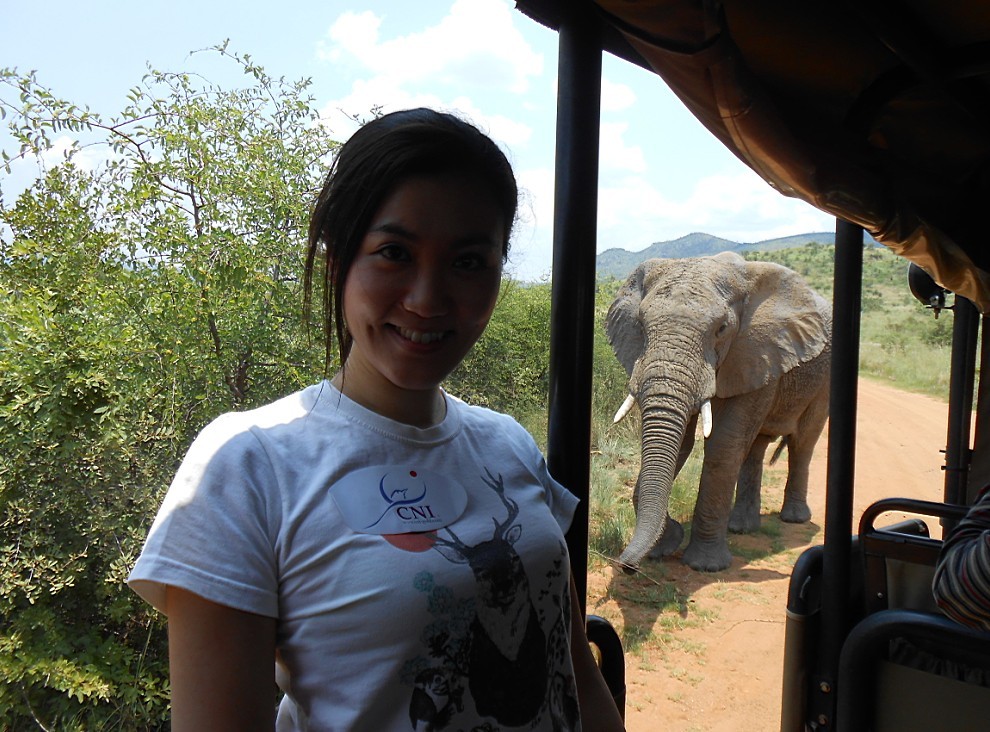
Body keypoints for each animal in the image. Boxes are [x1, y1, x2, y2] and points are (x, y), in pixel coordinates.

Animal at [608, 252, 832, 572]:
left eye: (722, 329)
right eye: (640, 324)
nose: (626, 565)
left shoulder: (757, 350)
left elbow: (724, 443)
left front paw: (705, 566)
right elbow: (682, 443)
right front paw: (664, 546)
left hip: (823, 381)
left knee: (803, 442)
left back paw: (794, 519)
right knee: (756, 446)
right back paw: (742, 528)